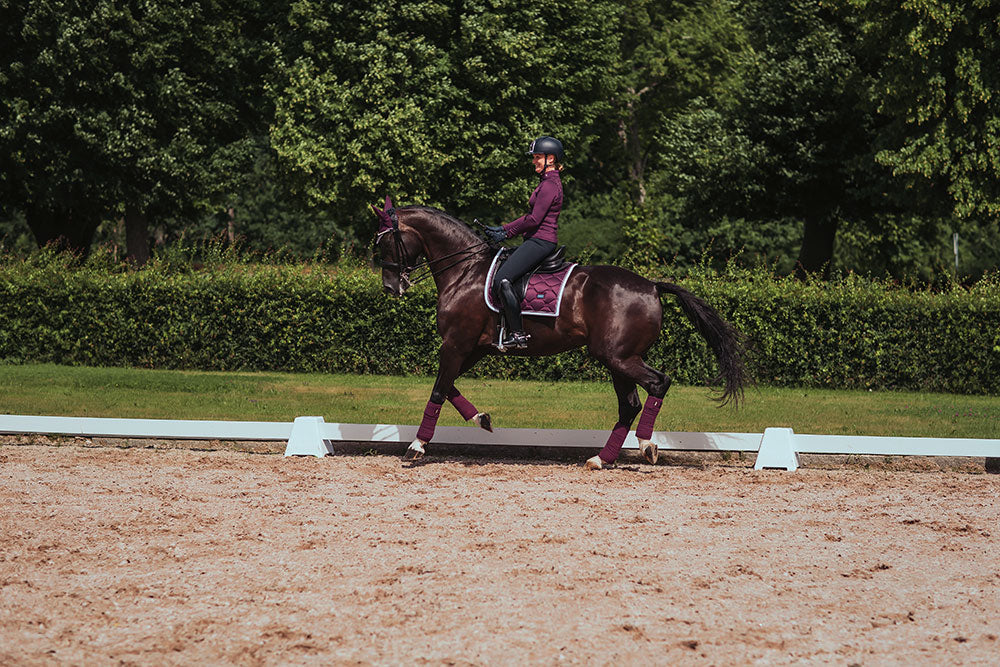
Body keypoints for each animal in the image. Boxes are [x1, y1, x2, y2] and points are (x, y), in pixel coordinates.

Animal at [372, 198, 748, 470]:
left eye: (384, 243)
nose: (391, 287)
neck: (465, 271)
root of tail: (652, 285)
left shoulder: (456, 343)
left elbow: (438, 389)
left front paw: (417, 446)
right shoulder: (472, 347)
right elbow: (448, 385)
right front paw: (482, 420)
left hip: (618, 356)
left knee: (658, 384)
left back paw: (645, 446)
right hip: (618, 360)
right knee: (629, 404)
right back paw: (601, 459)